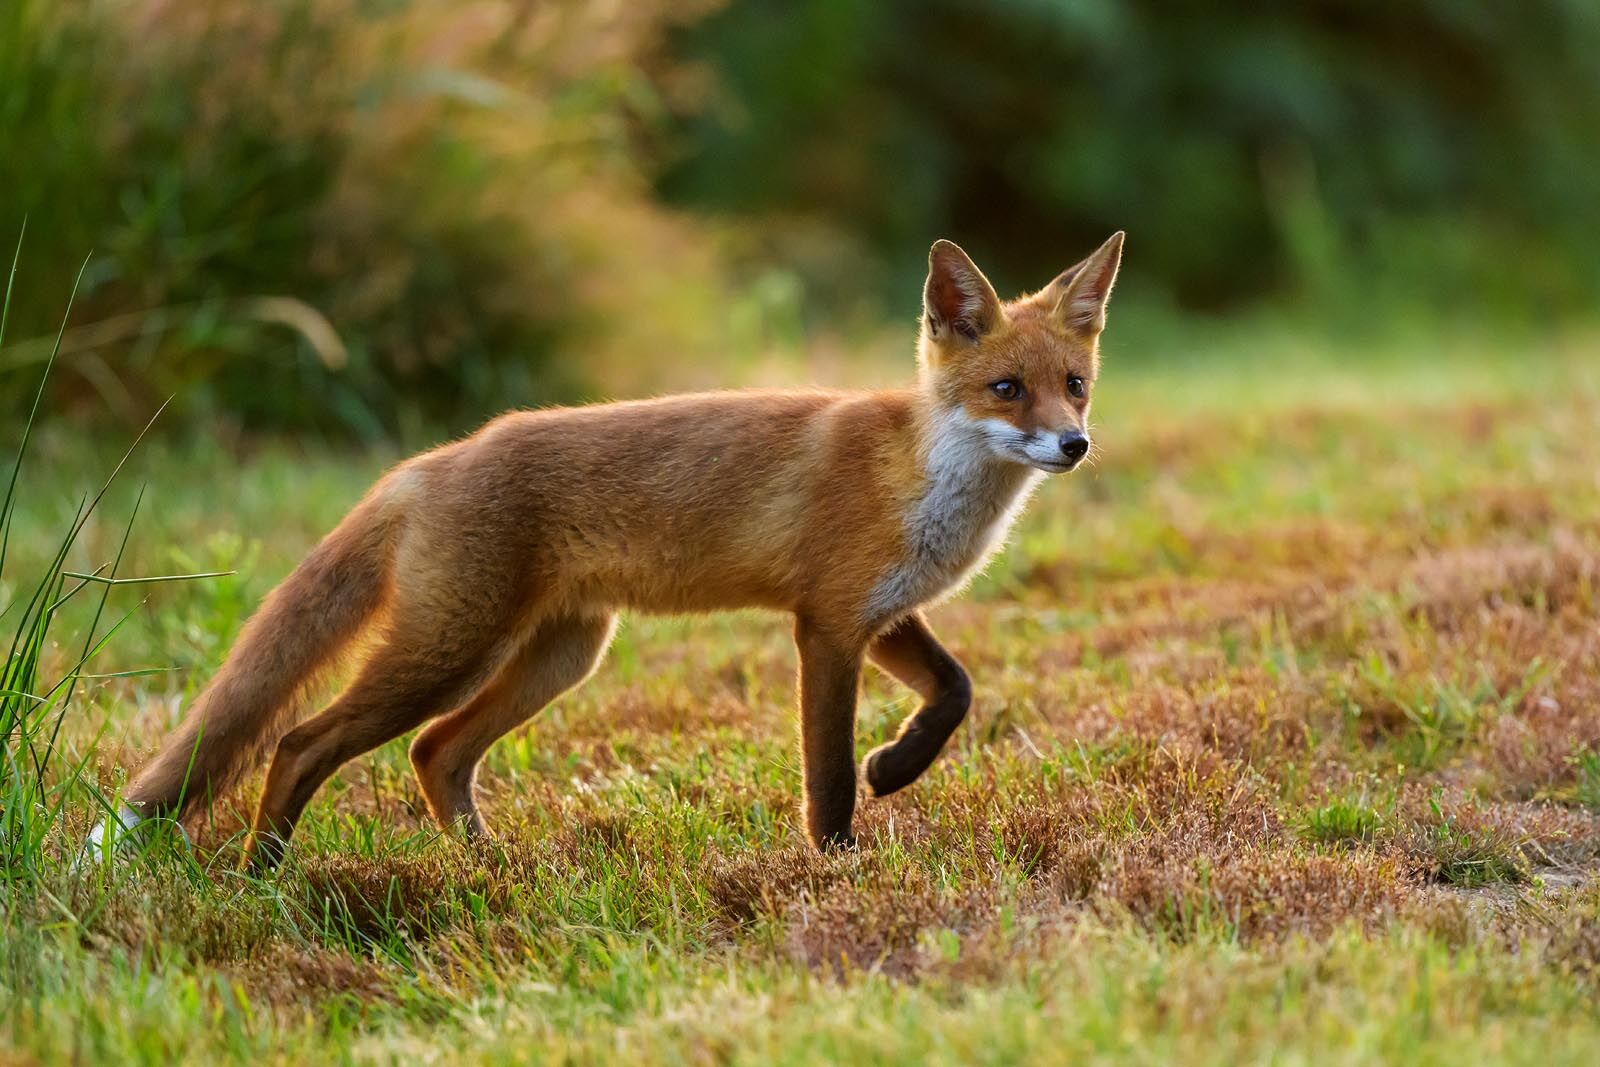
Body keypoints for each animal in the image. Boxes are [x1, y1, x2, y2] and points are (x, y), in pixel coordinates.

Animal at [94, 232, 1124, 871]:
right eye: (1006, 388)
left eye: (1074, 385)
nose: (1074, 444)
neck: (923, 476)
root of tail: (427, 462)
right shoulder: (826, 624)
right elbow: (827, 773)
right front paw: (836, 866)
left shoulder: (879, 611)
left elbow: (956, 691)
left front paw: (897, 768)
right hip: (447, 650)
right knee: (302, 741)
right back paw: (260, 876)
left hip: (560, 655)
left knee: (435, 751)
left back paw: (487, 870)